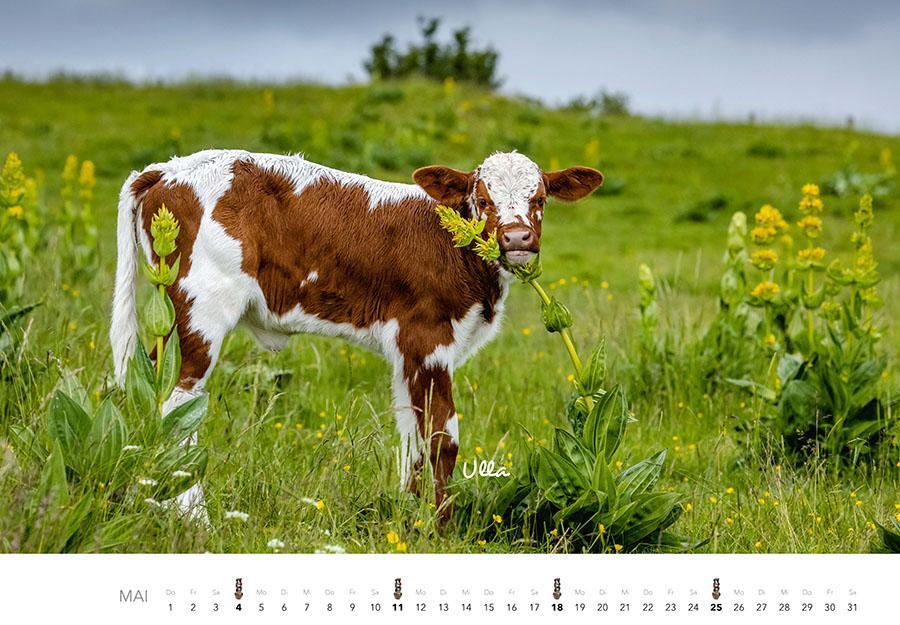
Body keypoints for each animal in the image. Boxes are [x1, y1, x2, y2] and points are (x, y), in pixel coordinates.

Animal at [112, 150, 604, 516]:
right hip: (199, 311)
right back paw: (193, 515)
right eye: (482, 198)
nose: (517, 238)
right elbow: (442, 440)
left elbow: (412, 440)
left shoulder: (407, 354)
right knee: (177, 402)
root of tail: (169, 169)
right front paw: (440, 530)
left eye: (541, 198)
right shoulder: (427, 340)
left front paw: (410, 520)